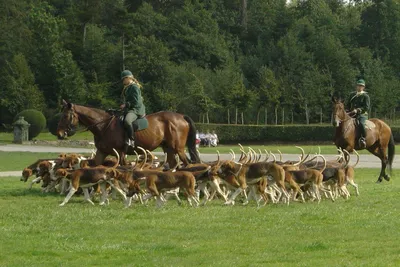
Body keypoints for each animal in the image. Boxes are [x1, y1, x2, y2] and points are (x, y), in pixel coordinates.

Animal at [56, 100, 200, 168]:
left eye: (65, 116)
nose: (59, 134)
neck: (103, 126)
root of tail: (181, 116)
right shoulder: (101, 152)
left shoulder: (120, 152)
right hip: (168, 149)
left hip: (178, 148)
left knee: (187, 163)